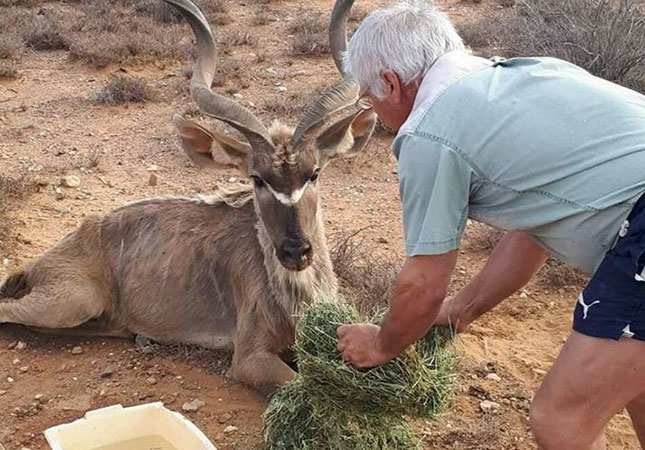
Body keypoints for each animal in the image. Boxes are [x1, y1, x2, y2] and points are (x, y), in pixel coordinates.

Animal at [0, 0, 372, 394]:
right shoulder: (250, 359)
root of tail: (44, 259)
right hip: (72, 302)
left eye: (313, 173)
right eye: (257, 179)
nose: (295, 251)